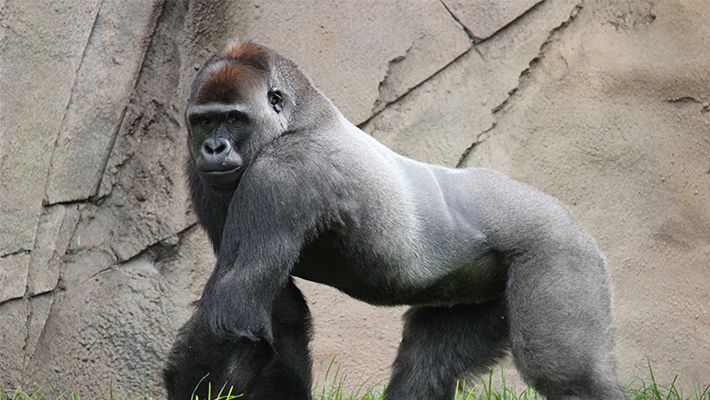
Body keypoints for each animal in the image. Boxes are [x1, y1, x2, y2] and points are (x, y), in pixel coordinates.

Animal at [163, 39, 626, 400]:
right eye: (204, 120)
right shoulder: (204, 175)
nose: (213, 148)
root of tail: (567, 215)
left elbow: (233, 310)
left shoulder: (283, 172)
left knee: (566, 374)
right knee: (429, 364)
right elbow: (279, 312)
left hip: (558, 248)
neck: (297, 118)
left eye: (233, 118)